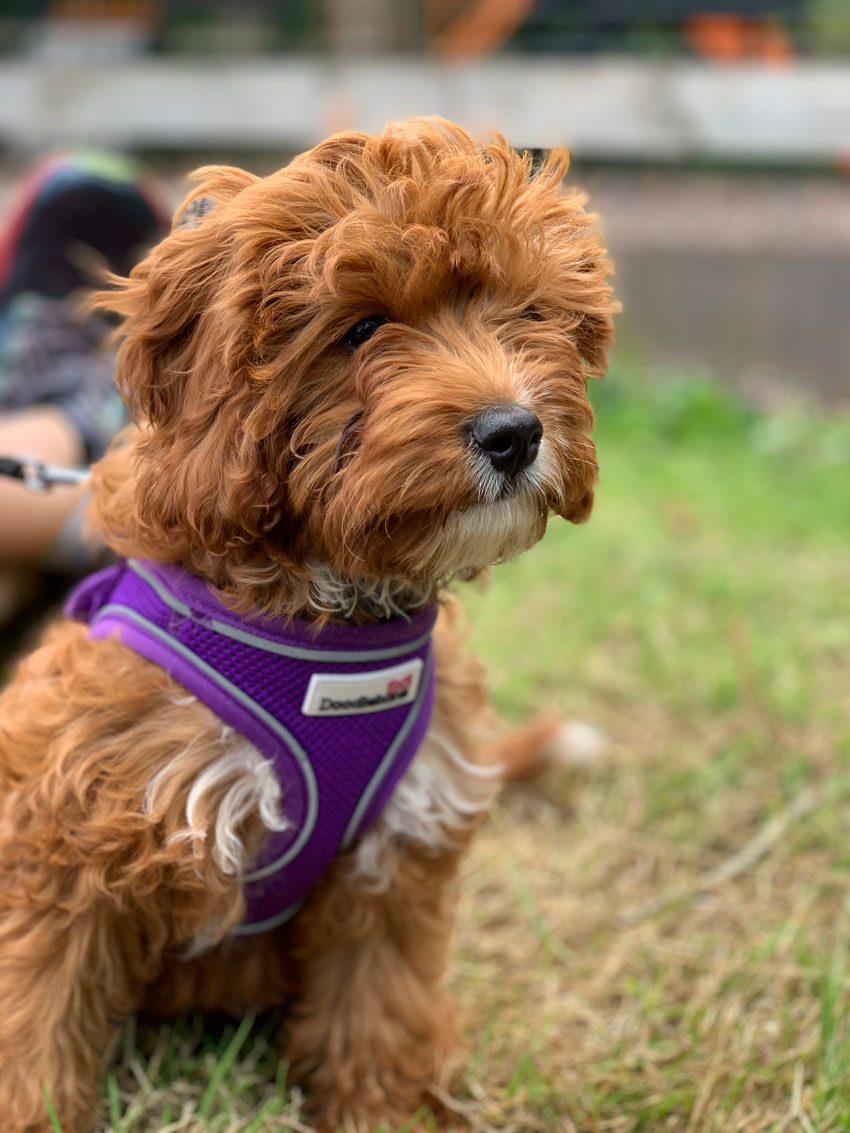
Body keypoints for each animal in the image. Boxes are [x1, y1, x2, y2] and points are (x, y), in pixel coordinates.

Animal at [0, 119, 612, 1128]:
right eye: (360, 328)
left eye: (522, 312)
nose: (515, 432)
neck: (333, 619)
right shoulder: (69, 831)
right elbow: (35, 1009)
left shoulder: (396, 846)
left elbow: (377, 1003)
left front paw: (383, 1110)